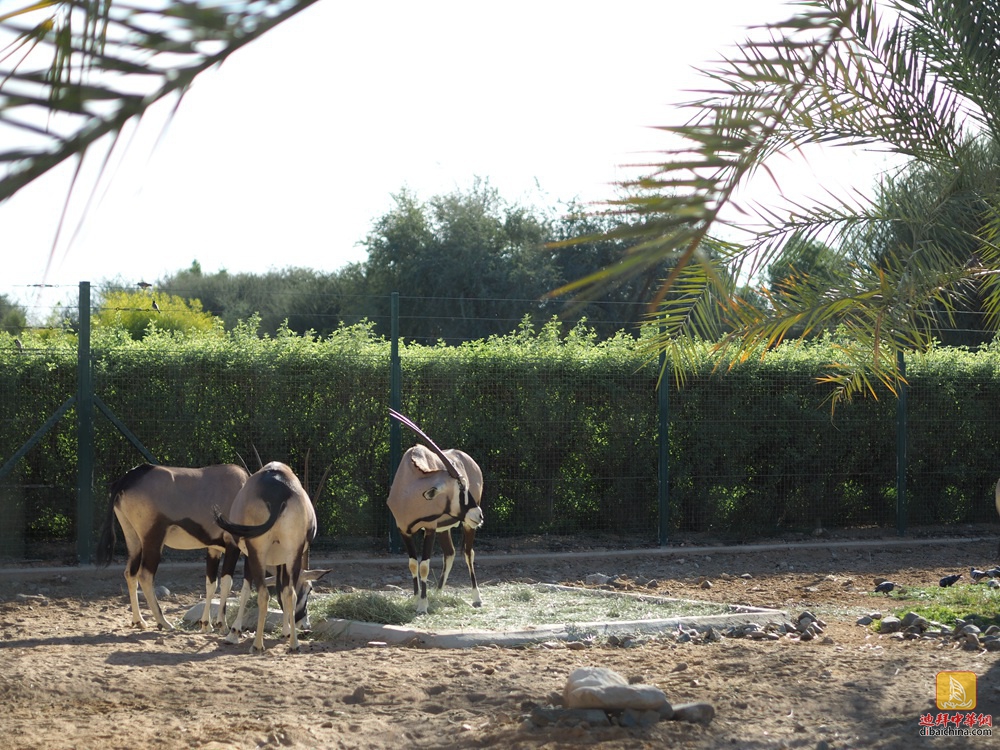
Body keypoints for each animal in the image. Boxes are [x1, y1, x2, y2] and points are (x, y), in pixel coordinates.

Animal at [96, 464, 250, 636]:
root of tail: (129, 477)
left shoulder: (213, 549)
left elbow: (211, 584)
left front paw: (206, 625)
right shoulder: (232, 546)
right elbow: (226, 583)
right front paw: (222, 625)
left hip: (133, 538)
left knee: (130, 573)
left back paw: (139, 621)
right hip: (153, 541)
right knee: (145, 575)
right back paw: (163, 622)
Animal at [213, 462, 326, 648]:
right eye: (310, 589)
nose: (306, 626)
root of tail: (277, 488)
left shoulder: (251, 555)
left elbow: (246, 589)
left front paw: (234, 632)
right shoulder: (283, 560)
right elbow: (283, 589)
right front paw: (287, 632)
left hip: (258, 552)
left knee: (263, 594)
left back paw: (257, 645)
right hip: (292, 552)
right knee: (290, 593)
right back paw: (294, 645)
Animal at [386, 412, 484, 616]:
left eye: (465, 485)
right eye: (461, 487)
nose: (479, 515)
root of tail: (471, 460)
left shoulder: (429, 528)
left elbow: (424, 565)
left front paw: (423, 605)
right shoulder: (403, 530)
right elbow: (413, 563)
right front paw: (416, 598)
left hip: (467, 525)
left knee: (468, 553)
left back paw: (476, 598)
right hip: (443, 528)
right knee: (450, 553)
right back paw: (438, 593)